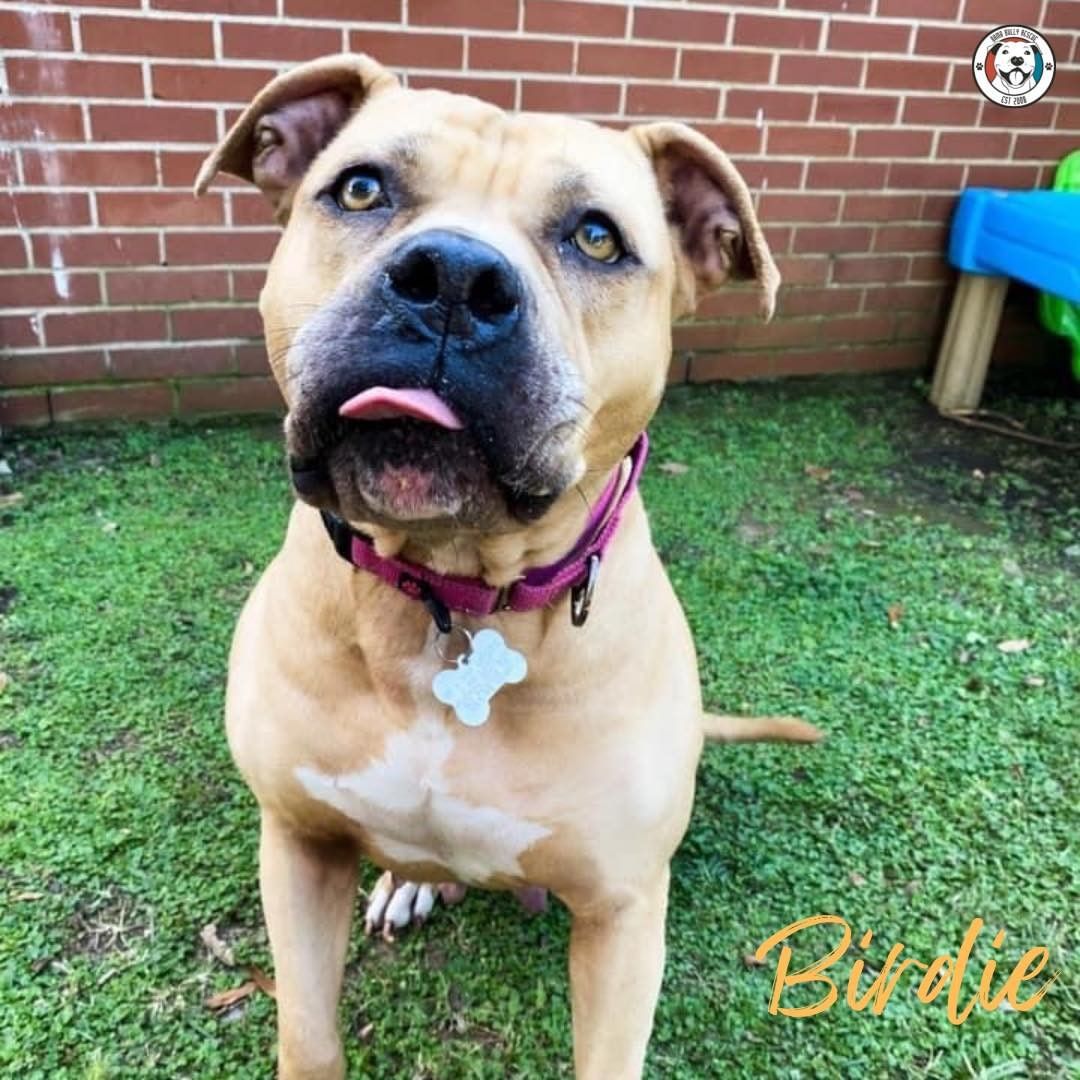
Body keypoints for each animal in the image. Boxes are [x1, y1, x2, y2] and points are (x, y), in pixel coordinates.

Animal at [196, 54, 816, 1075]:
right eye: (360, 188)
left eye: (597, 238)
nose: (451, 277)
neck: (451, 590)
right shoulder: (297, 841)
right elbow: (307, 1036)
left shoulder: (622, 918)